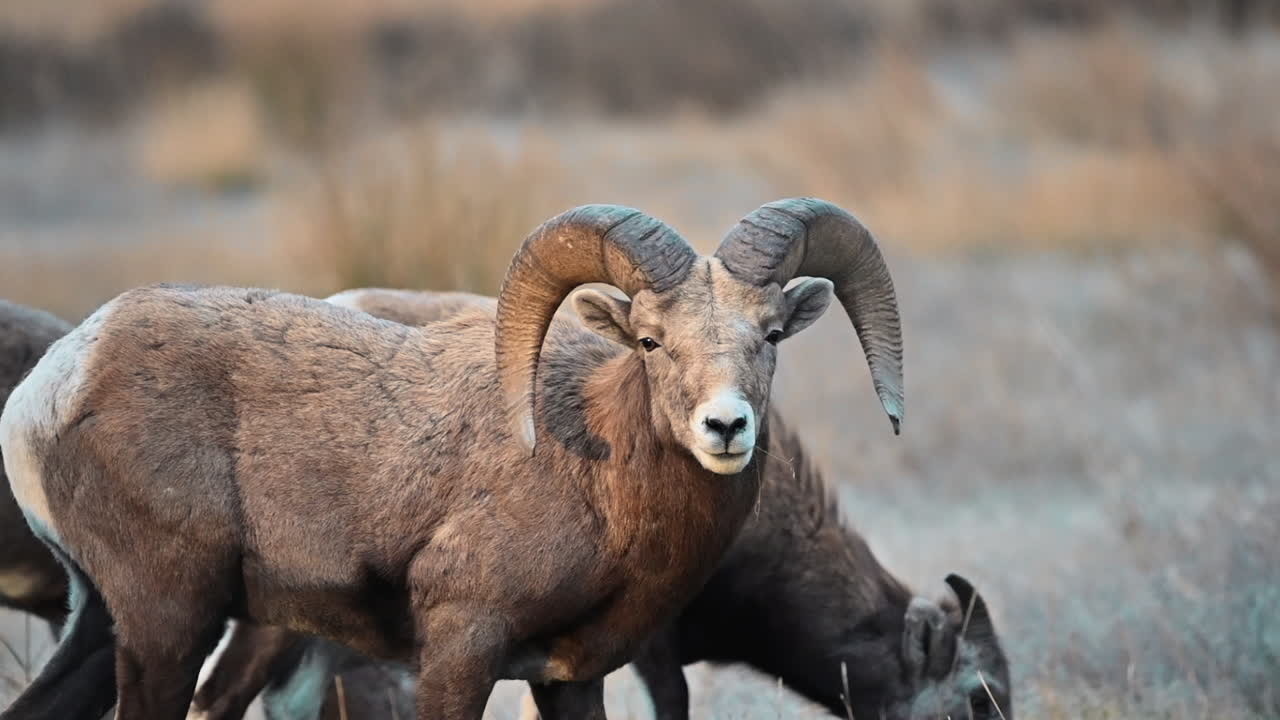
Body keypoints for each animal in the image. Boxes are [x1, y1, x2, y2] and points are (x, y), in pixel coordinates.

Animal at [0, 197, 904, 720]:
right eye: (650, 341)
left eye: (772, 336)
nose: (725, 427)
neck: (595, 476)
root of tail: (51, 386)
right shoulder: (461, 650)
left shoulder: (570, 679)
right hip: (170, 625)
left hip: (106, 625)